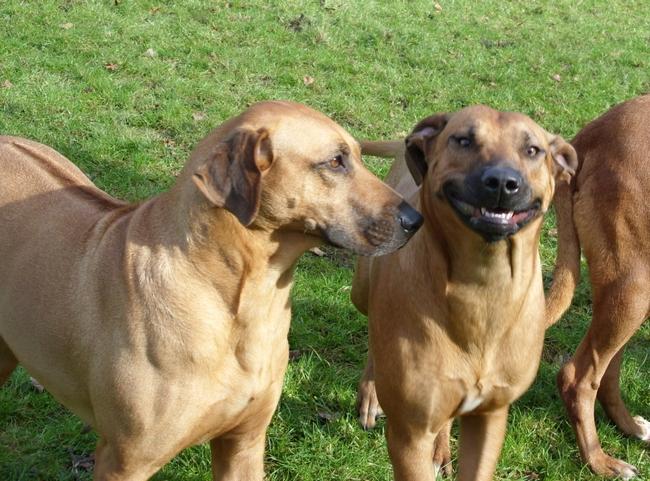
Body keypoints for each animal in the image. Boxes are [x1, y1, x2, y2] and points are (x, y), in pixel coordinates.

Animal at [0, 99, 420, 478]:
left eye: (359, 156)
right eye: (335, 161)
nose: (415, 220)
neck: (243, 301)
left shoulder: (244, 443)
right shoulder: (123, 462)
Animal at [352, 106, 576, 480]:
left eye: (533, 150)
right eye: (464, 140)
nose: (502, 182)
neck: (482, 287)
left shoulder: (491, 417)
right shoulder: (409, 434)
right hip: (362, 289)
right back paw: (371, 392)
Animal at [548, 93, 648, 476]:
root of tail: (590, 135)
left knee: (607, 374)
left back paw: (630, 428)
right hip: (634, 288)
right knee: (578, 379)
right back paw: (599, 462)